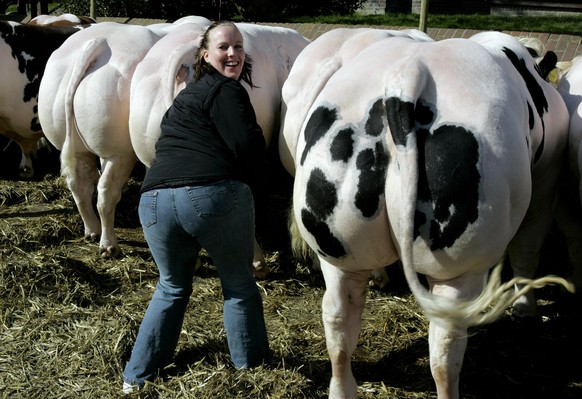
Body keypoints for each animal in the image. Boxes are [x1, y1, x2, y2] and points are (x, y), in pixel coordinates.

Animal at [282, 29, 576, 399]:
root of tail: (406, 78)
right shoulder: (547, 176)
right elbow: (528, 249)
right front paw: (526, 310)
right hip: (459, 268)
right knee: (445, 348)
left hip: (339, 251)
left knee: (338, 319)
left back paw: (342, 386)